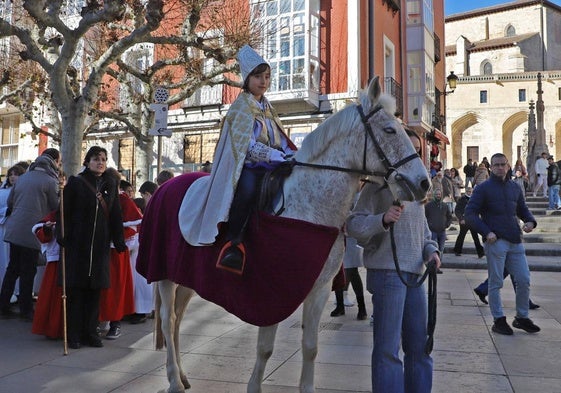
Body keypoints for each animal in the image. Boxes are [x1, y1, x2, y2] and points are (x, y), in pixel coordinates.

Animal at [139, 77, 428, 392]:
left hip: (186, 277)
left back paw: (182, 375)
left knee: (178, 319)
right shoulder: (272, 291)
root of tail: (164, 188)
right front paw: (254, 387)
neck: (309, 207)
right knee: (167, 320)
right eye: (389, 130)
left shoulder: (319, 289)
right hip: (164, 275)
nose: (424, 183)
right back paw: (173, 380)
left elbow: (310, 347)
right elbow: (265, 348)